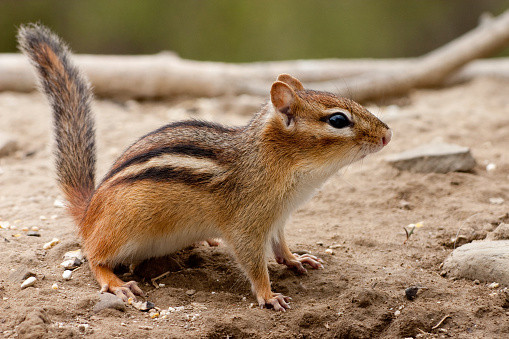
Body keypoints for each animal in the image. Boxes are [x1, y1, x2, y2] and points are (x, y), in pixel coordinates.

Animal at [17, 23, 390, 310]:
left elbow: (280, 245)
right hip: (120, 228)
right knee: (94, 256)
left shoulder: (277, 219)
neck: (277, 162)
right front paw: (268, 295)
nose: (387, 134)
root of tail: (89, 214)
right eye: (338, 120)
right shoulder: (247, 224)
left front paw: (296, 259)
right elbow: (254, 262)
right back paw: (115, 282)